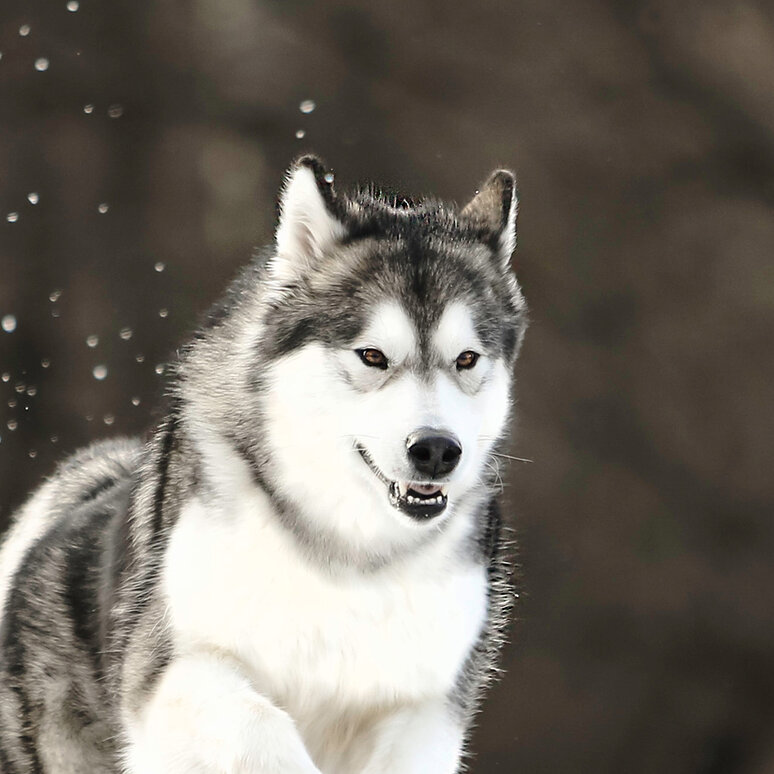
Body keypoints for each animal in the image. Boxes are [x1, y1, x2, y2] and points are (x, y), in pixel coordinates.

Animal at [0, 155, 528, 772]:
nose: (437, 449)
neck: (351, 553)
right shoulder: (175, 671)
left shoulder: (425, 711)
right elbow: (263, 725)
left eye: (466, 359)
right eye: (373, 355)